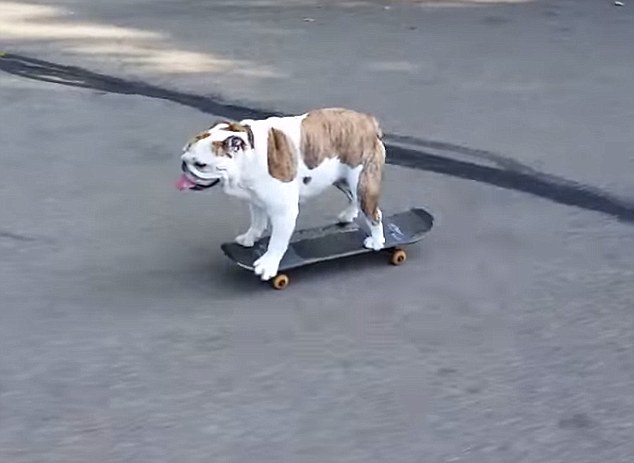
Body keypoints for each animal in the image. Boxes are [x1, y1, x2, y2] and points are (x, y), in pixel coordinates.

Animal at [175, 107, 388, 280]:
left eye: (200, 164)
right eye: (184, 153)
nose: (183, 165)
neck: (249, 154)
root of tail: (368, 121)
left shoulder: (283, 211)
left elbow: (277, 241)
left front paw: (268, 265)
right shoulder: (256, 199)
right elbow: (257, 221)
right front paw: (250, 238)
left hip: (362, 180)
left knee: (374, 213)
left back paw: (377, 241)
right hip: (342, 179)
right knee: (353, 198)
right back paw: (348, 215)